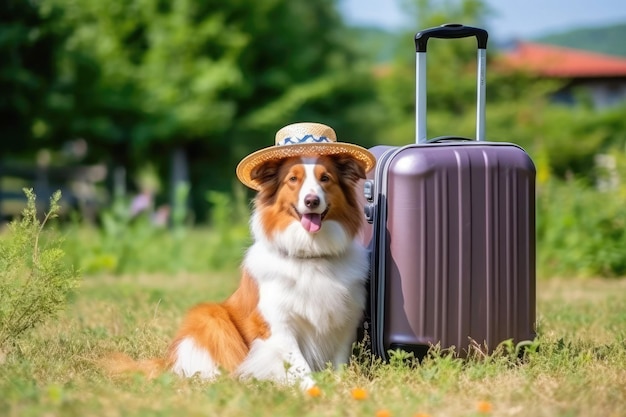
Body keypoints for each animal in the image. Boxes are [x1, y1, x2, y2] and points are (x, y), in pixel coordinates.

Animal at [104, 122, 372, 388]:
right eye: (293, 179)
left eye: (325, 178)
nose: (312, 201)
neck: (311, 255)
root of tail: (167, 362)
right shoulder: (277, 325)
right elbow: (299, 365)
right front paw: (314, 390)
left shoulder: (345, 321)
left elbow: (339, 362)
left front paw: (340, 385)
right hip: (210, 316)